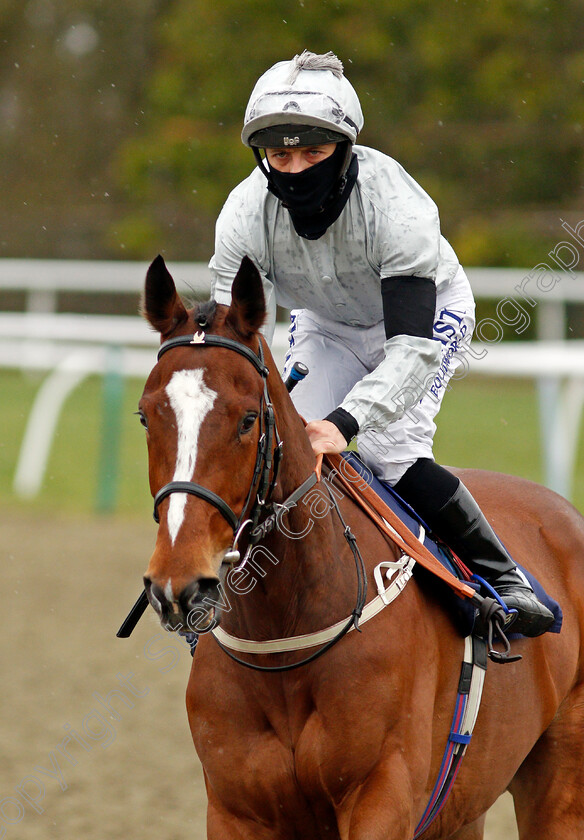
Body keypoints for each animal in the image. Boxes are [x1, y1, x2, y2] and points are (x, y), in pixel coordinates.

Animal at [136, 256, 584, 840]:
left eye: (247, 419)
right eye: (146, 415)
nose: (179, 582)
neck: (287, 637)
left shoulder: (382, 794)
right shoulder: (235, 810)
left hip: (558, 784)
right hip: (464, 807)